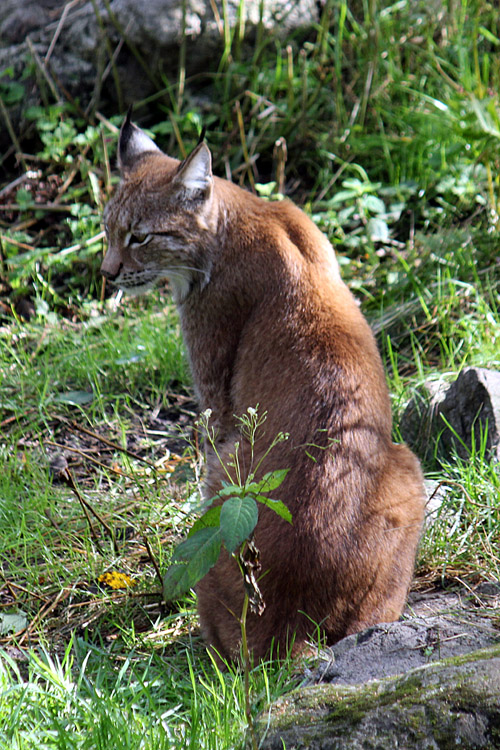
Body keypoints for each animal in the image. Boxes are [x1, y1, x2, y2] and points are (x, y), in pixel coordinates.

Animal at [101, 112, 426, 663]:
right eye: (107, 230)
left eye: (140, 237)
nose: (107, 274)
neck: (237, 213)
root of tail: (296, 631)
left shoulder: (216, 395)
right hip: (409, 464)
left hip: (224, 489)